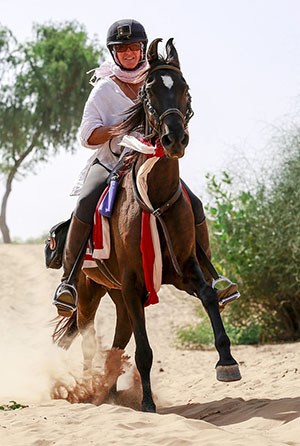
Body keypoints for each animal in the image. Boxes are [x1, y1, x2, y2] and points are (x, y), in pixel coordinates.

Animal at [52, 38, 241, 414]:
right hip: (91, 293)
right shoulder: (132, 283)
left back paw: (109, 392)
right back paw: (89, 391)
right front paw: (149, 405)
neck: (155, 199)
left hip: (117, 295)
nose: (174, 139)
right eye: (149, 92)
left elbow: (209, 296)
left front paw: (227, 362)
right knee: (88, 340)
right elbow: (144, 350)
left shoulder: (184, 269)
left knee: (116, 340)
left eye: (184, 89)